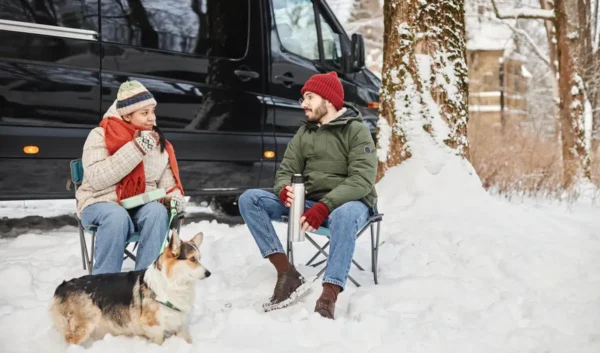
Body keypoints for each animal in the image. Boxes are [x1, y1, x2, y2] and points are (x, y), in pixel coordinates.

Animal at [48, 228, 211, 344]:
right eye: (192, 259)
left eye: (200, 258)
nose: (209, 273)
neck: (172, 283)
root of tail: (62, 286)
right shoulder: (154, 328)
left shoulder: (180, 325)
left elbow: (187, 340)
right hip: (87, 321)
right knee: (71, 339)